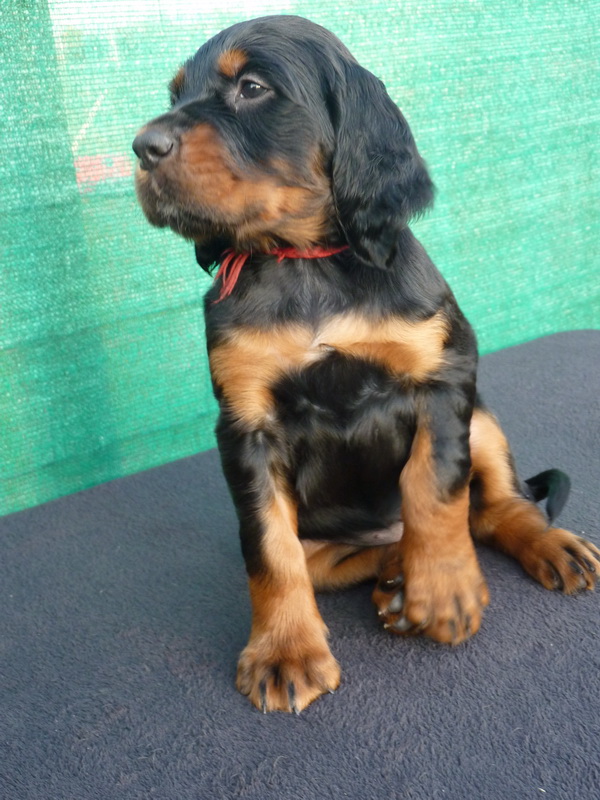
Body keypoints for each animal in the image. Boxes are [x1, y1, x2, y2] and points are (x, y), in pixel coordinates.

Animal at [132, 15, 600, 713]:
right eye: (175, 93)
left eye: (252, 87)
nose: (142, 146)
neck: (306, 262)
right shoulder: (245, 425)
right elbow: (269, 549)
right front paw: (284, 652)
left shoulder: (443, 377)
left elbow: (433, 487)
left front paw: (446, 591)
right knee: (344, 558)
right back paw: (395, 578)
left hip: (482, 418)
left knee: (494, 508)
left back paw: (533, 547)